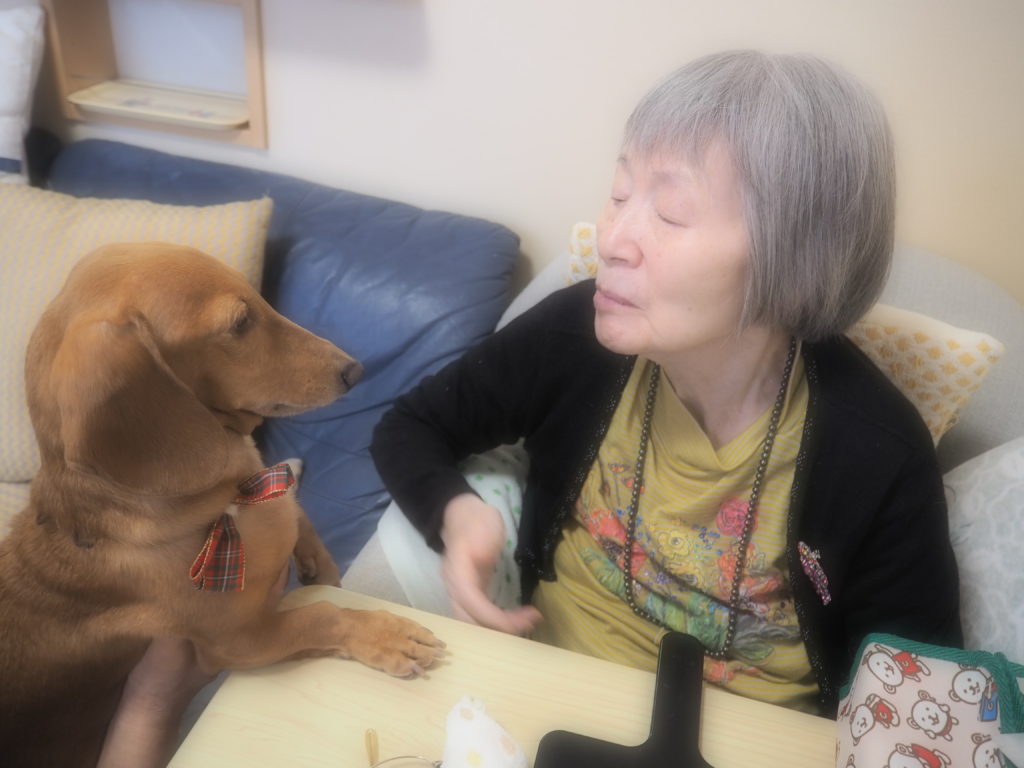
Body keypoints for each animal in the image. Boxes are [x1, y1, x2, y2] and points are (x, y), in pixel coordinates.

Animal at [0, 243, 444, 767]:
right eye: (238, 323)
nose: (355, 370)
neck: (229, 503)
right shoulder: (239, 644)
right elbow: (319, 615)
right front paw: (383, 634)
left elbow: (295, 508)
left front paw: (320, 564)